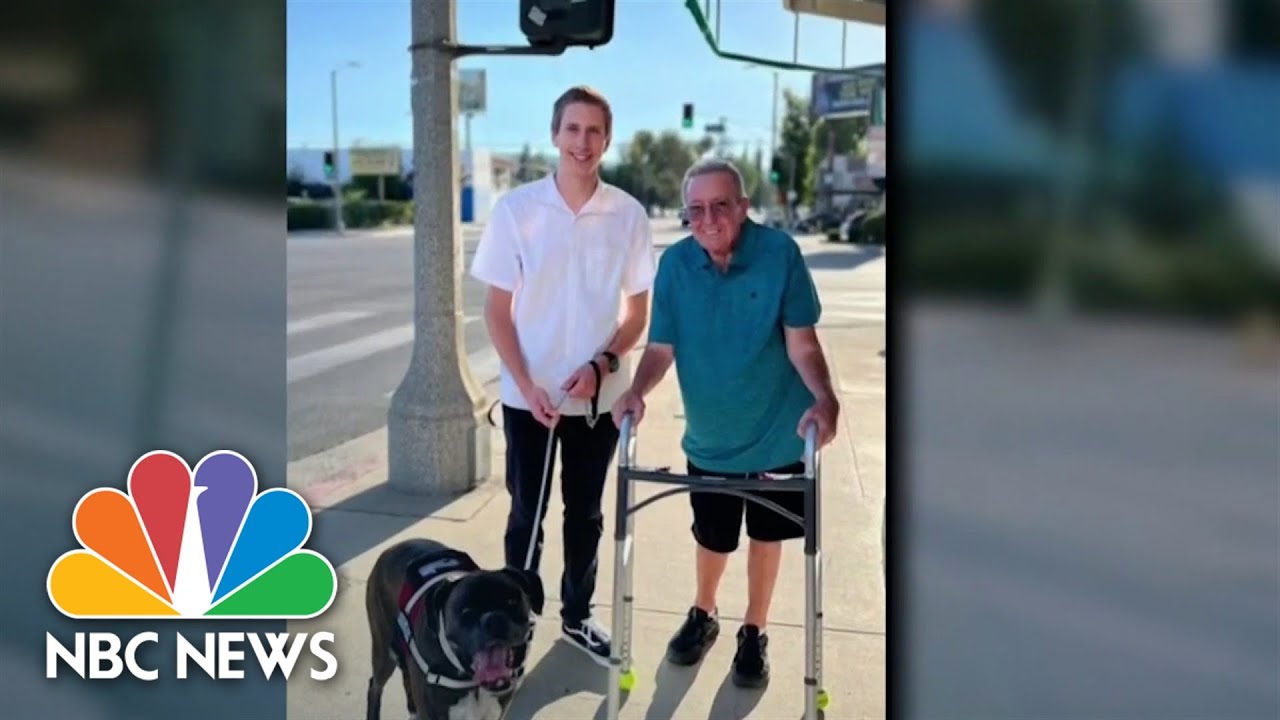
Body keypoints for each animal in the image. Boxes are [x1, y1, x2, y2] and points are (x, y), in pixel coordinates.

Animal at [366, 538, 540, 717]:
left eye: (512, 602)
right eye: (466, 611)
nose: (494, 619)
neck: (471, 682)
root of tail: (393, 547)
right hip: (384, 652)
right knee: (375, 685)